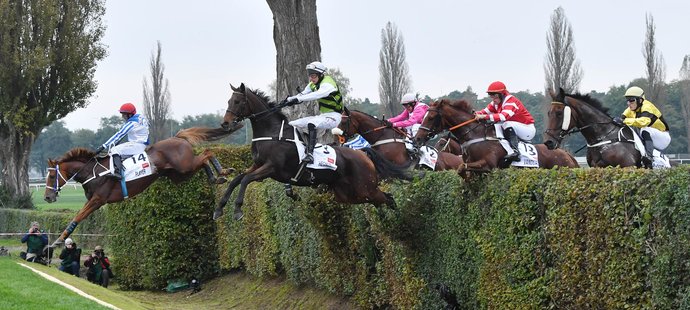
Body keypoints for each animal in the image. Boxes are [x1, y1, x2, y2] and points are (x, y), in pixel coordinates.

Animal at [45, 125, 236, 245]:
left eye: (52, 175)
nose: (47, 197)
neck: (93, 172)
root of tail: (177, 137)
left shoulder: (98, 200)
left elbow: (77, 217)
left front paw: (57, 241)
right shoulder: (93, 200)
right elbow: (78, 217)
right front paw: (58, 240)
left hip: (184, 166)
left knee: (207, 153)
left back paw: (223, 171)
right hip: (179, 175)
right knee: (202, 161)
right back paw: (216, 178)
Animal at [216, 83, 408, 220]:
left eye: (238, 102)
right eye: (229, 101)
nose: (225, 123)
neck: (272, 133)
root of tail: (363, 153)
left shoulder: (271, 168)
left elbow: (245, 180)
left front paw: (237, 209)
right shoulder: (257, 165)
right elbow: (236, 180)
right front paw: (219, 208)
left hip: (365, 189)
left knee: (388, 198)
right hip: (349, 194)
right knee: (383, 200)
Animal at [412, 99, 576, 177]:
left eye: (431, 117)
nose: (417, 139)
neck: (476, 135)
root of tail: (567, 154)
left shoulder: (489, 164)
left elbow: (461, 167)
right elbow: (463, 169)